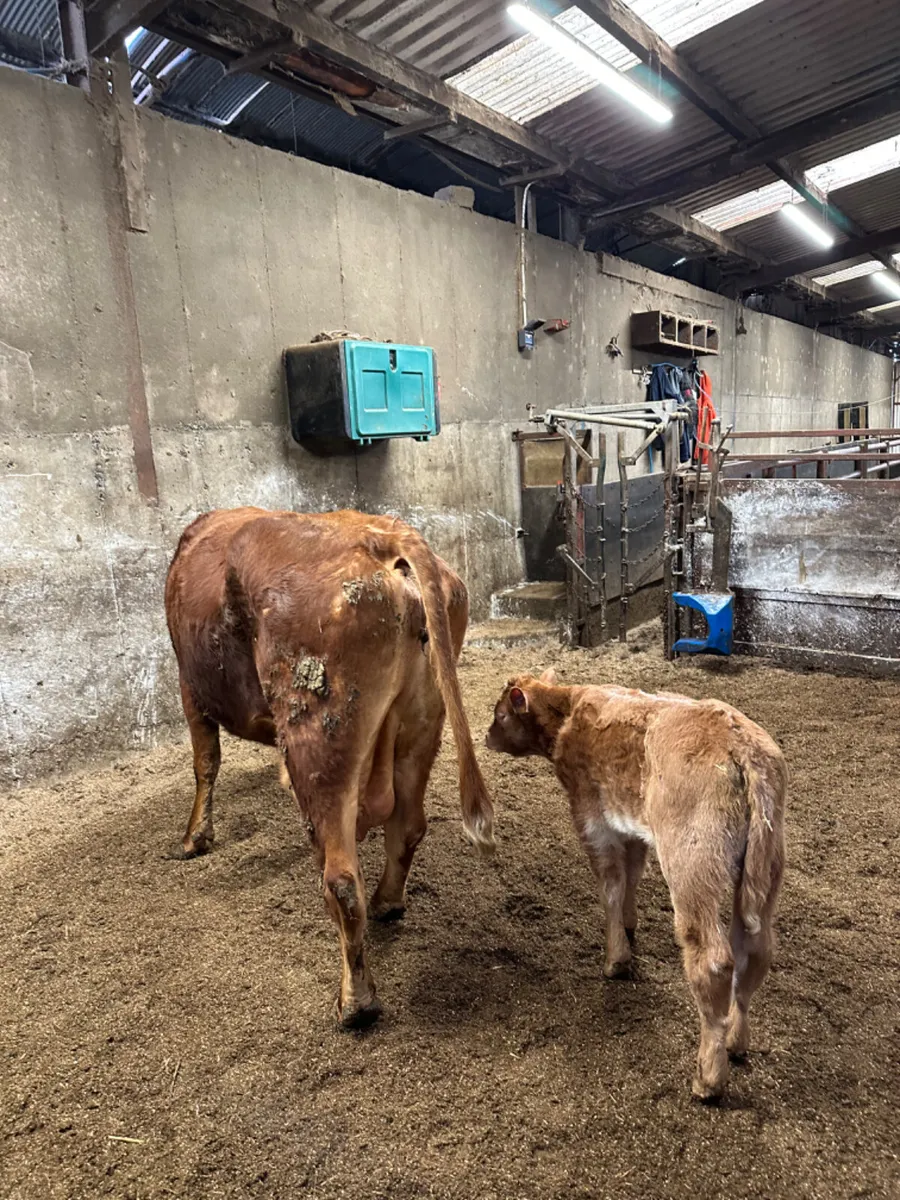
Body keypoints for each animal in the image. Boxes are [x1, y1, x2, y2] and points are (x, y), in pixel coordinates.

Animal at [165, 507, 494, 1029]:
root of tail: (384, 536)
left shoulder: (189, 686)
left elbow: (205, 762)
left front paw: (194, 838)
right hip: (424, 721)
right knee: (407, 828)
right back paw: (387, 903)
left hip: (319, 734)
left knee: (341, 880)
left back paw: (354, 1002)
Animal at [485, 672, 786, 1102]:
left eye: (501, 713)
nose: (486, 736)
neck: (569, 712)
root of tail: (741, 746)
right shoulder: (632, 826)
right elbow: (631, 874)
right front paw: (628, 928)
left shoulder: (592, 818)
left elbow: (611, 883)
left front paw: (616, 959)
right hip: (768, 864)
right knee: (754, 952)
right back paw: (736, 1042)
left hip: (692, 864)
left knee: (713, 959)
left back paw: (708, 1077)